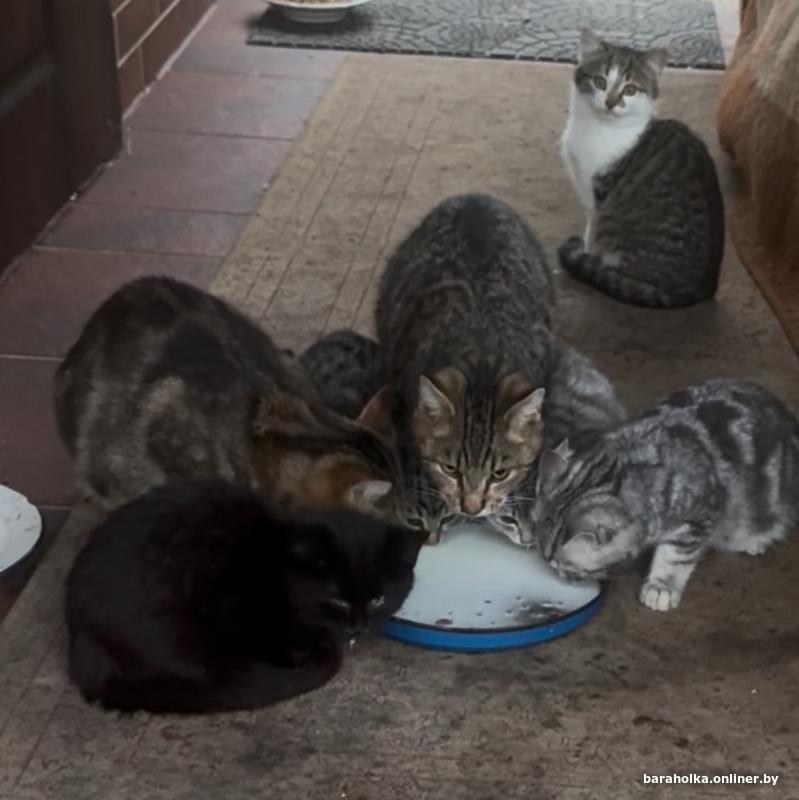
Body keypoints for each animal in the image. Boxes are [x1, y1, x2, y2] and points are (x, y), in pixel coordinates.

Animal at [532, 379, 799, 611]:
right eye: (546, 561)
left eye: (562, 566)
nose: (559, 577)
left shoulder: (697, 517)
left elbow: (674, 557)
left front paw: (662, 586)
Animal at [559, 29, 724, 309]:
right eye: (600, 82)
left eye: (630, 90)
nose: (611, 102)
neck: (597, 127)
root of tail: (700, 289)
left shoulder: (597, 199)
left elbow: (592, 230)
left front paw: (584, 252)